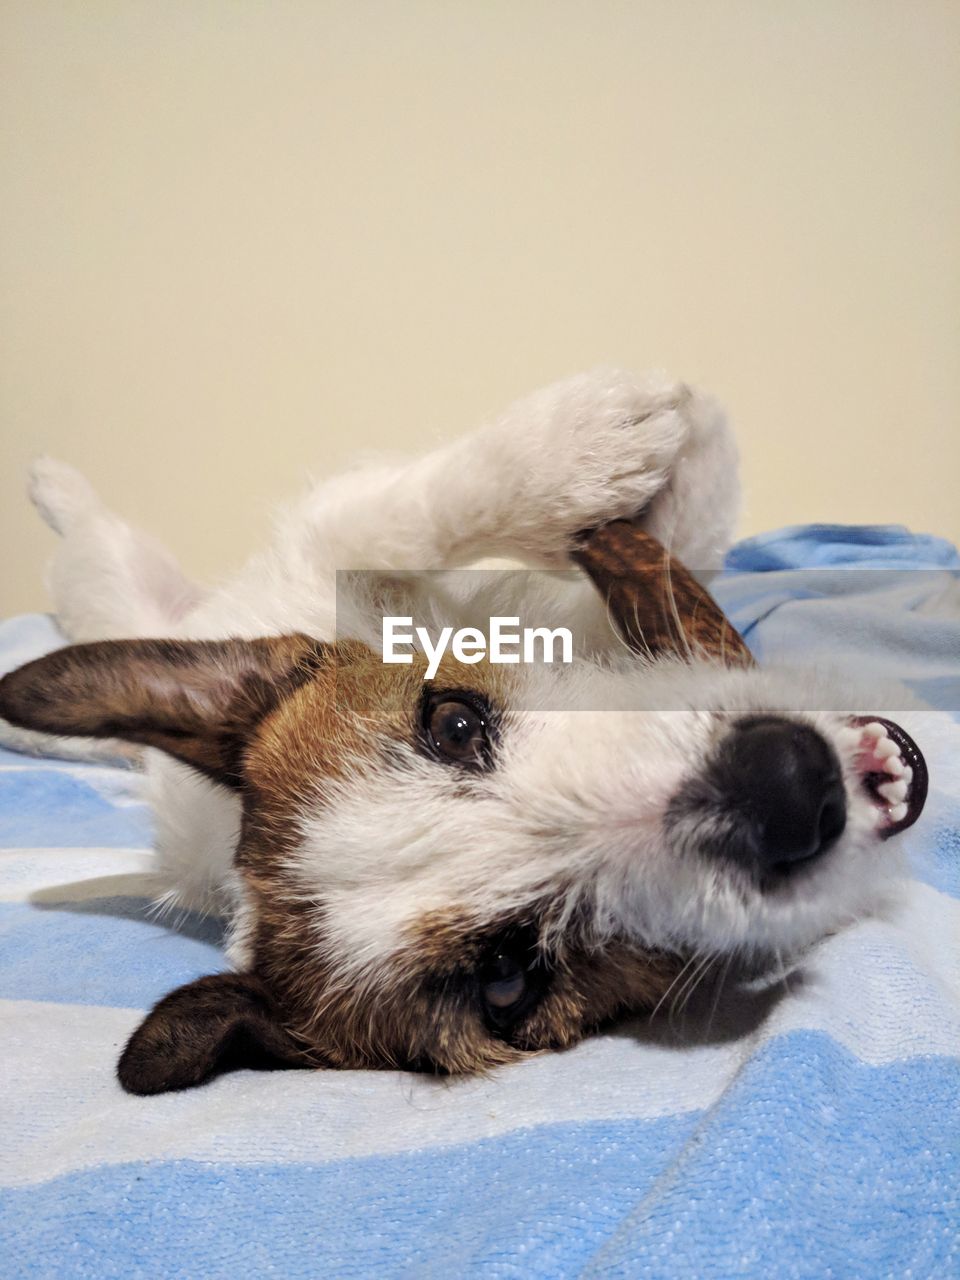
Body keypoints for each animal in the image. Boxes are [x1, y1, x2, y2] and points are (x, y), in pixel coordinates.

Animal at [0, 368, 931, 1090]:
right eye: (509, 980)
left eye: (451, 721)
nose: (787, 784)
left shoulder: (337, 549)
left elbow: (400, 519)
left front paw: (612, 450)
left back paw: (50, 481)